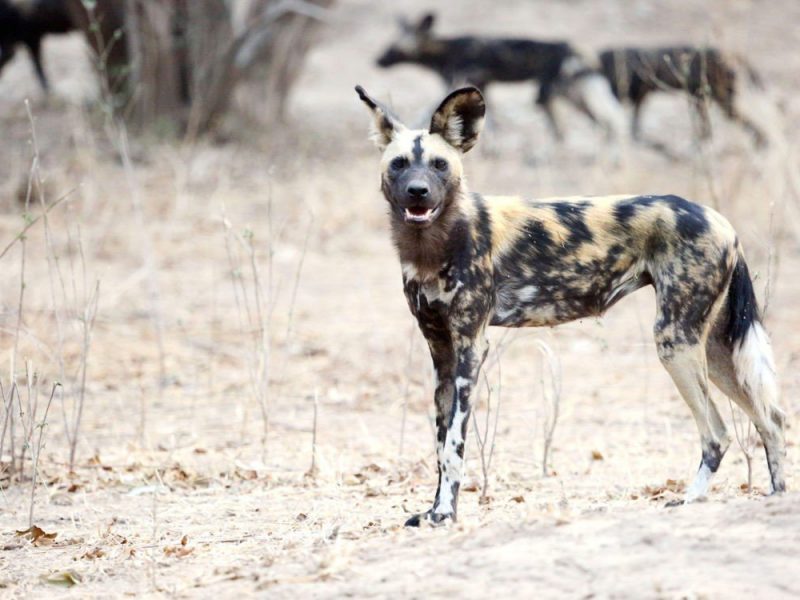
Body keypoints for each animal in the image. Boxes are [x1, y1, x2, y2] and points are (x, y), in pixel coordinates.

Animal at [358, 83, 788, 524]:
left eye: (440, 165)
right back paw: (777, 496)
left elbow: (453, 447)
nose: (418, 192)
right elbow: (441, 444)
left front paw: (445, 514)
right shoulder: (442, 352)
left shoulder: (469, 349)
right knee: (770, 417)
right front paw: (433, 510)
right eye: (400, 165)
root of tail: (721, 220)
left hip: (675, 343)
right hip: (714, 350)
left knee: (717, 432)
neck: (435, 244)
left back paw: (690, 499)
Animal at [376, 13, 624, 143]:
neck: (444, 50)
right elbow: (491, 123)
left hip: (551, 94)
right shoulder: (481, 88)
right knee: (603, 122)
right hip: (572, 93)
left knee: (599, 122)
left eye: (393, 47)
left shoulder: (459, 83)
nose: (378, 60)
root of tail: (580, 50)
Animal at [592, 45, 768, 146]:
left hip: (717, 99)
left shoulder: (639, 94)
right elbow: (633, 119)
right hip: (705, 99)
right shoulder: (638, 96)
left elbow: (634, 119)